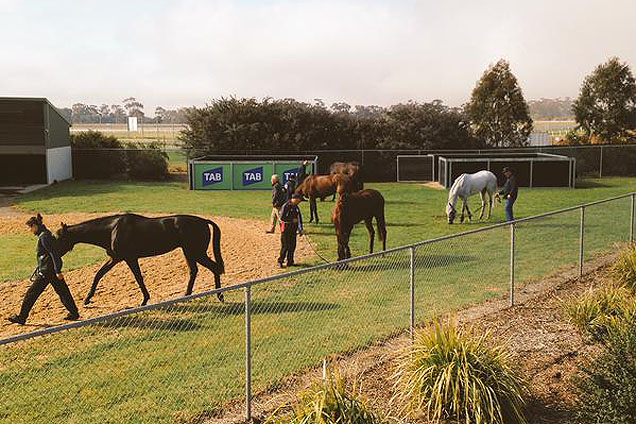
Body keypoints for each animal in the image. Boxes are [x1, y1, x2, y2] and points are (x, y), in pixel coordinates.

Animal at [54, 214, 225, 306]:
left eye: (58, 238)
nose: (52, 255)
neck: (112, 229)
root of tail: (203, 221)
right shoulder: (116, 258)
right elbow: (99, 274)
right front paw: (87, 299)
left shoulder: (128, 258)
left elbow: (138, 278)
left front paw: (144, 300)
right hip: (189, 252)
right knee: (194, 271)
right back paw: (187, 296)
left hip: (196, 252)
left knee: (214, 268)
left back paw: (220, 296)